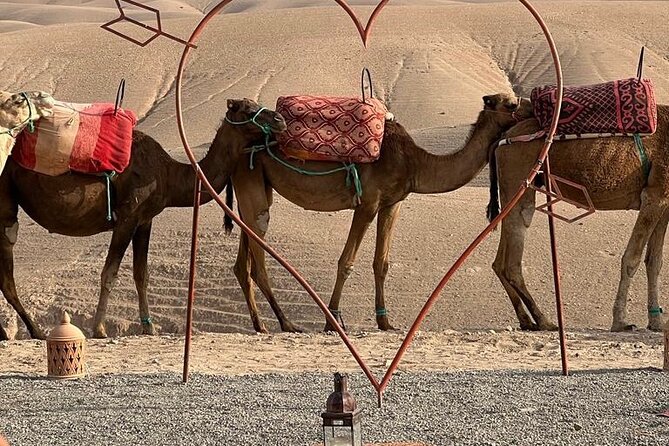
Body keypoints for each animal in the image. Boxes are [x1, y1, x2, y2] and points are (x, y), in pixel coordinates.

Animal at [0, 98, 286, 340]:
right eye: (247, 110)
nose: (280, 119)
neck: (169, 175)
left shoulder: (144, 220)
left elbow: (141, 273)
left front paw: (149, 327)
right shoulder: (127, 216)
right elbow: (110, 272)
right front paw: (100, 329)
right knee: (7, 267)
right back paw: (34, 331)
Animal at [224, 93, 533, 333]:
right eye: (511, 104)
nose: (532, 111)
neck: (414, 162)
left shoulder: (392, 204)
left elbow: (381, 263)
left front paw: (385, 322)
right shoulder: (368, 202)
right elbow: (347, 261)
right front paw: (332, 321)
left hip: (256, 188)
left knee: (243, 260)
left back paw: (260, 325)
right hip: (251, 182)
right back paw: (280, 324)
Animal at [487, 104, 669, 332]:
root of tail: (503, 138)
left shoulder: (663, 200)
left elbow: (654, 262)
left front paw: (656, 323)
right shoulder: (653, 196)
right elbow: (632, 259)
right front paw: (620, 322)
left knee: (500, 259)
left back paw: (527, 320)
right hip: (519, 175)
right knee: (513, 253)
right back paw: (545, 320)